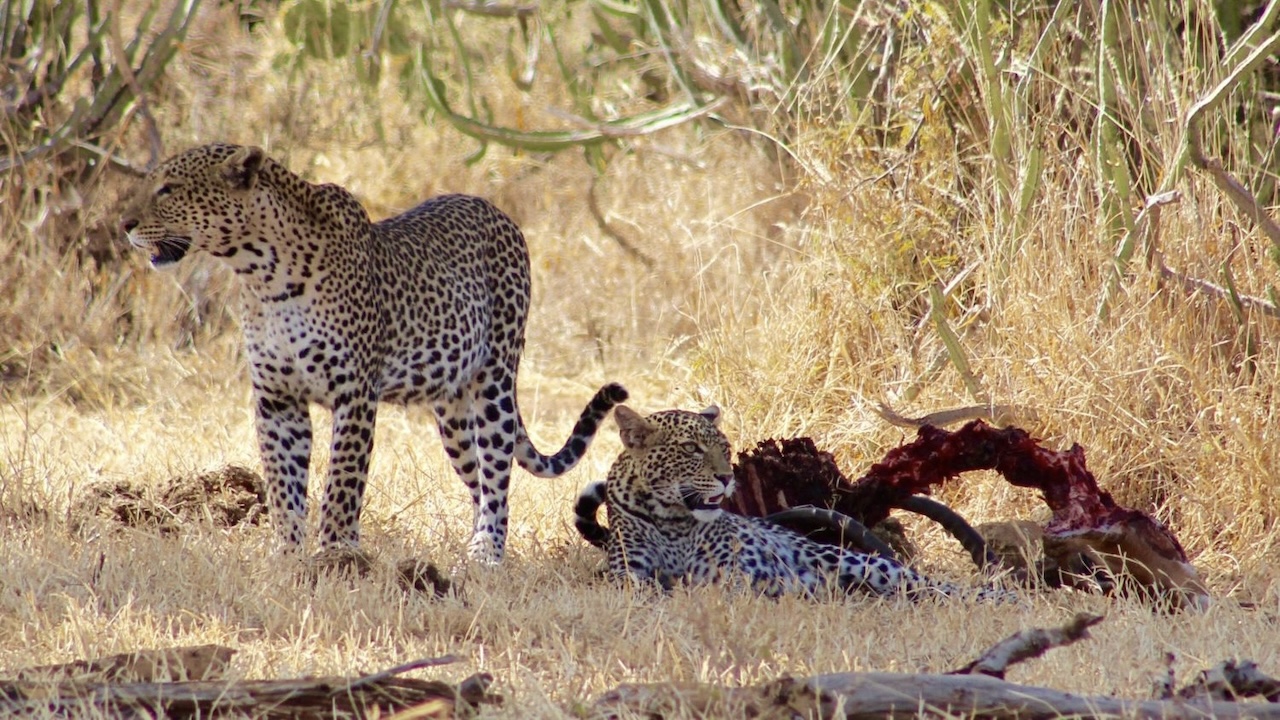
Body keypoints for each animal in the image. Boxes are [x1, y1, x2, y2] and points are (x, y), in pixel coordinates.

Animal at [117, 141, 627, 561]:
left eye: (168, 189)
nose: (124, 225)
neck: (262, 272)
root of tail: (492, 209)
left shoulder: (355, 393)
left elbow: (342, 482)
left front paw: (336, 556)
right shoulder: (278, 399)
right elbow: (283, 487)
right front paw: (286, 556)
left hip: (494, 383)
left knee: (498, 474)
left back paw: (487, 553)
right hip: (452, 415)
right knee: (478, 480)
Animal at [576, 404, 1013, 599]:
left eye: (724, 449)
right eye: (691, 449)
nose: (726, 477)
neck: (671, 519)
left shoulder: (729, 573)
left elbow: (714, 585)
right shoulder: (629, 574)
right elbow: (648, 586)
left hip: (852, 560)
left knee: (928, 583)